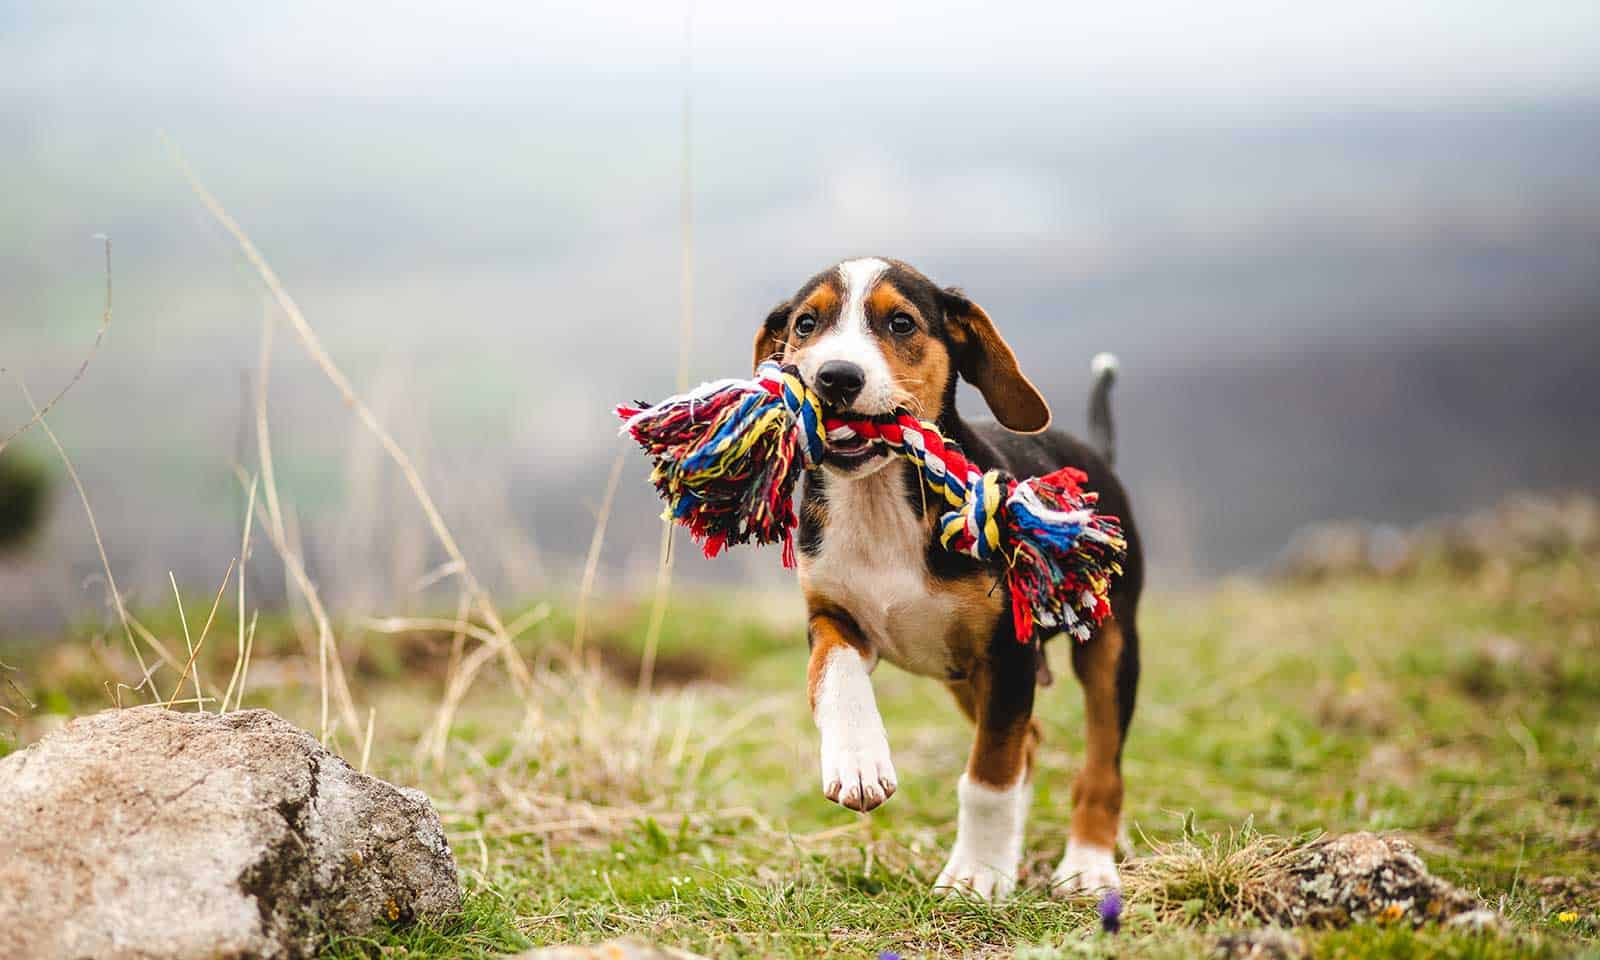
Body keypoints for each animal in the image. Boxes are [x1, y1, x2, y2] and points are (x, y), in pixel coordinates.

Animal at [755, 257, 1145, 902]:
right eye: (806, 323)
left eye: (901, 322)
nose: (836, 377)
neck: (880, 498)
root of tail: (1098, 456)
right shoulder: (833, 618)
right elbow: (834, 677)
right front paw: (857, 761)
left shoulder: (1008, 652)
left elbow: (988, 774)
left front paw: (975, 875)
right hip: (960, 674)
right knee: (1031, 742)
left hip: (1110, 644)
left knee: (1101, 764)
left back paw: (1088, 865)